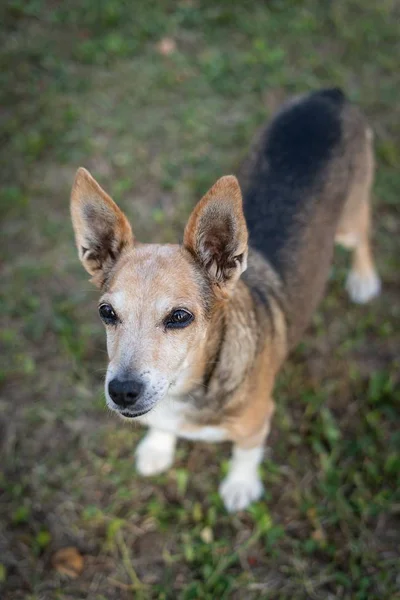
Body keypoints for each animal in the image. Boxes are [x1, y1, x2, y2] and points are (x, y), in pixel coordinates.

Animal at [70, 89, 380, 510]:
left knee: (363, 235)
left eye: (180, 317)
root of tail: (329, 94)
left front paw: (240, 484)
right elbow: (161, 426)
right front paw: (158, 446)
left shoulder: (257, 420)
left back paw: (363, 279)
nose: (121, 391)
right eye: (106, 312)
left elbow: (246, 452)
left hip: (349, 221)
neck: (187, 389)